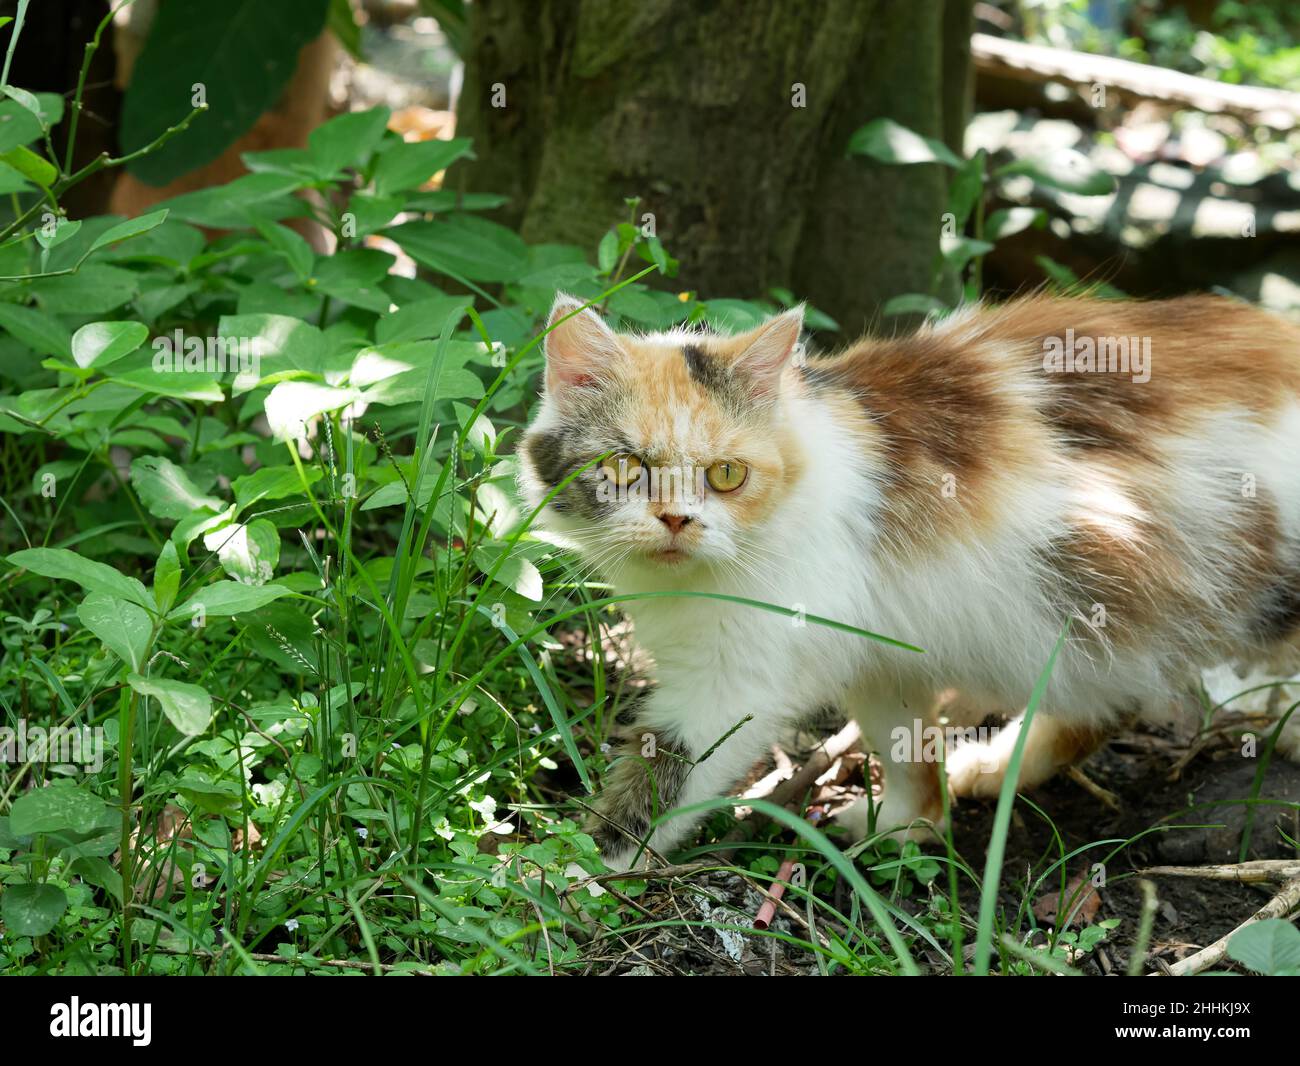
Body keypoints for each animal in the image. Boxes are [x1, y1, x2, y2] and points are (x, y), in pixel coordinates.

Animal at [514, 289, 1300, 868]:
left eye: (726, 475)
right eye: (624, 467)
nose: (678, 519)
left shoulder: (733, 685)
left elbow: (663, 780)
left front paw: (569, 872)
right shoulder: (879, 654)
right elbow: (905, 747)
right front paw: (908, 829)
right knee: (1111, 699)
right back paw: (997, 766)